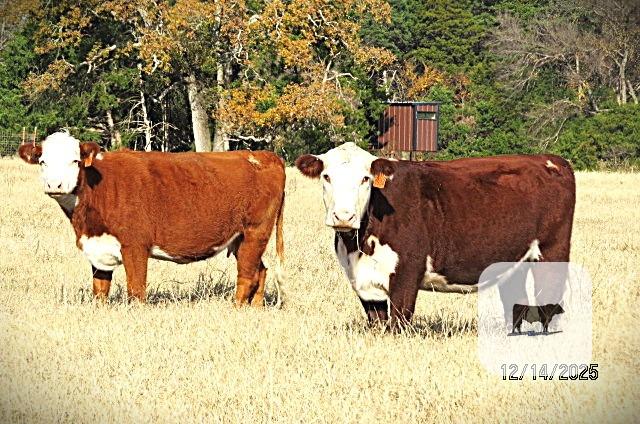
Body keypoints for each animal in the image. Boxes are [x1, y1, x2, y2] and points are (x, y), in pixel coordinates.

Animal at [18, 131, 286, 306]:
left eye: (75, 161)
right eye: (42, 162)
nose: (55, 185)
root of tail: (265, 155)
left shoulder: (135, 245)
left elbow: (136, 290)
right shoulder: (98, 247)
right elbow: (100, 289)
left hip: (255, 231)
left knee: (247, 275)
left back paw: (236, 308)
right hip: (240, 238)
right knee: (260, 270)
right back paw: (255, 308)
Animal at [295, 142, 575, 328]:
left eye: (365, 178)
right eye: (326, 176)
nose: (344, 216)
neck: (358, 246)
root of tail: (550, 160)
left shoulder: (407, 272)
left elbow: (398, 322)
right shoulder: (363, 283)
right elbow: (377, 323)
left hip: (552, 252)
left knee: (549, 301)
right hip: (513, 262)